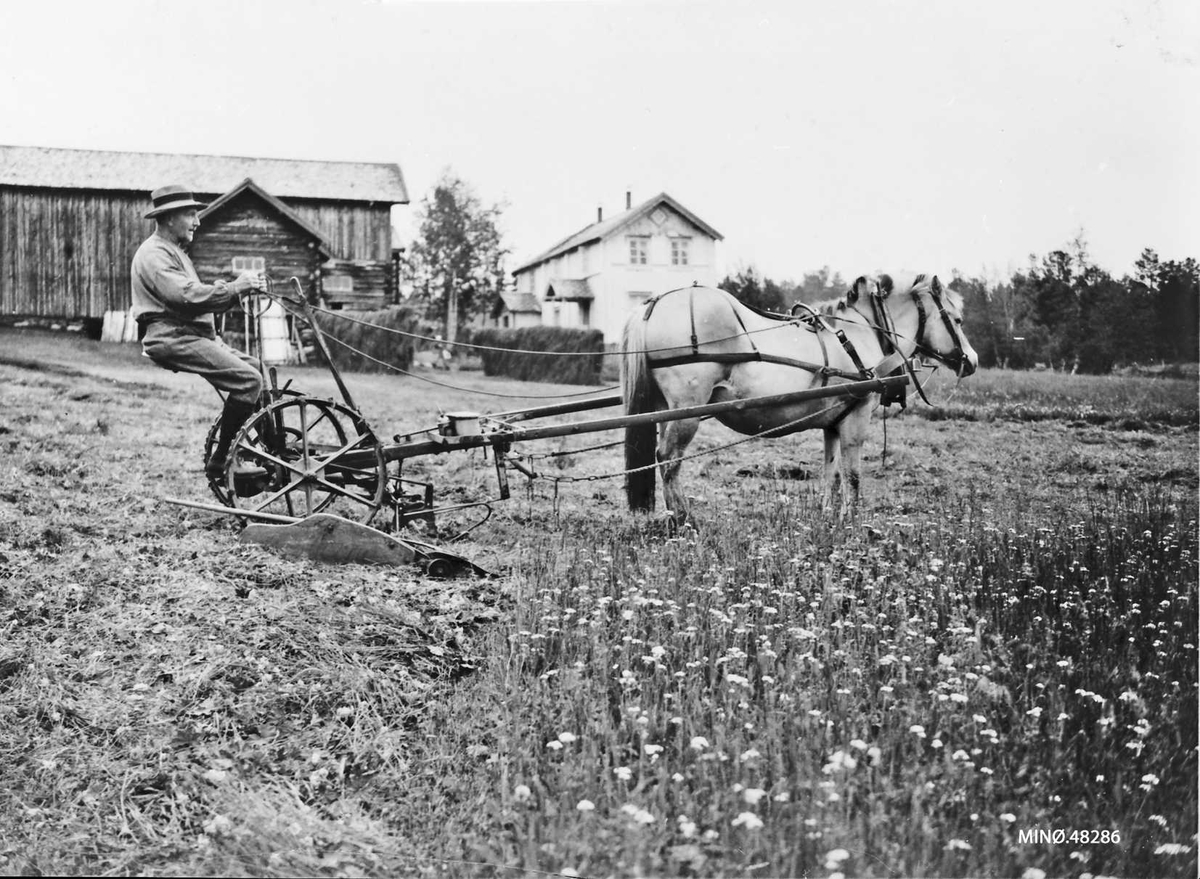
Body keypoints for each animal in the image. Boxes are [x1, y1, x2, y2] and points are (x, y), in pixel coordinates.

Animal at [624, 274, 979, 518]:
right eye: (957, 319)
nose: (972, 361)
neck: (860, 333)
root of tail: (655, 304)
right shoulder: (856, 417)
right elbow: (852, 476)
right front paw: (853, 521)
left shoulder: (833, 423)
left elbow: (831, 473)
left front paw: (828, 516)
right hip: (687, 412)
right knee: (668, 460)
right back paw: (683, 520)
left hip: (664, 411)